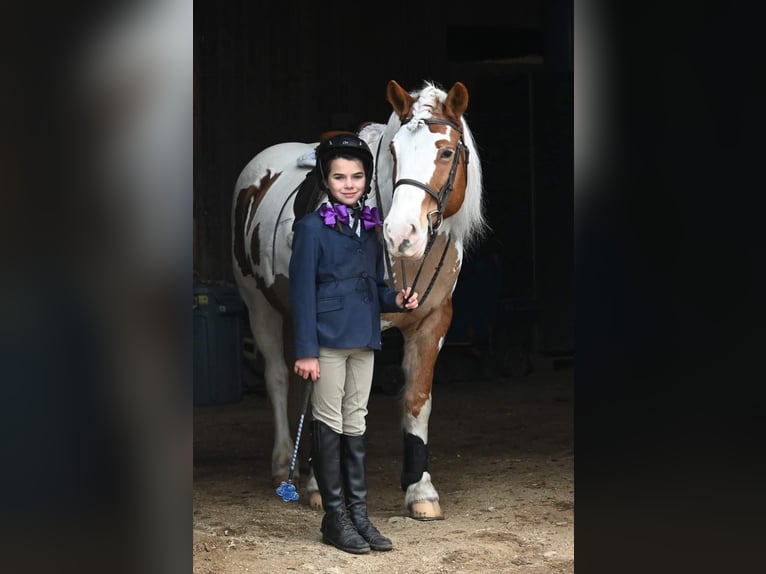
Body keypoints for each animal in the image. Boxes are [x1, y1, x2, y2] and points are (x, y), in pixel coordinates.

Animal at [231, 79, 488, 520]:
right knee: (278, 378)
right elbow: (334, 402)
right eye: (394, 151)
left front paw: (420, 490)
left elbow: (417, 400)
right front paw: (321, 485)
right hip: (259, 306)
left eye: (446, 151)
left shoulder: (433, 321)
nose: (401, 234)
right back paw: (284, 464)